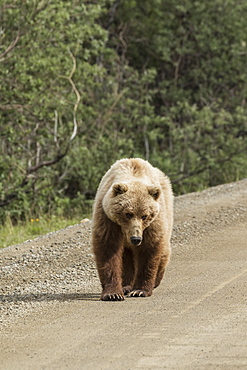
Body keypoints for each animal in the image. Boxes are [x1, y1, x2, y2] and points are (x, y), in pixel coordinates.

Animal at [91, 157, 174, 300]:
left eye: (145, 216)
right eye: (128, 214)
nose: (135, 238)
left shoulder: (152, 224)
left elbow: (149, 250)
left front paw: (140, 290)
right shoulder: (107, 218)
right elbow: (108, 249)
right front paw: (113, 294)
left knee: (163, 250)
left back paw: (155, 281)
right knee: (126, 258)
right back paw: (126, 286)